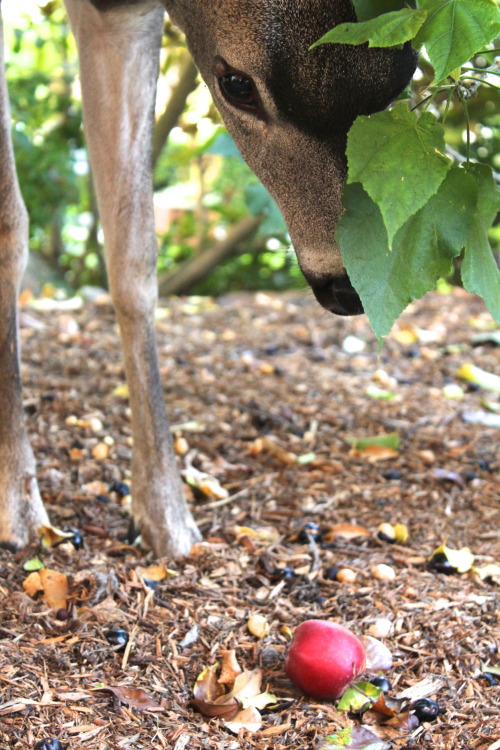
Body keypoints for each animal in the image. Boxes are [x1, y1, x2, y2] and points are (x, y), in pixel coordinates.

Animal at [0, 1, 418, 560]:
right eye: (238, 84)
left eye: (404, 75)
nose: (347, 286)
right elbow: (10, 225)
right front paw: (17, 505)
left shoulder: (123, 14)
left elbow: (134, 250)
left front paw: (166, 518)